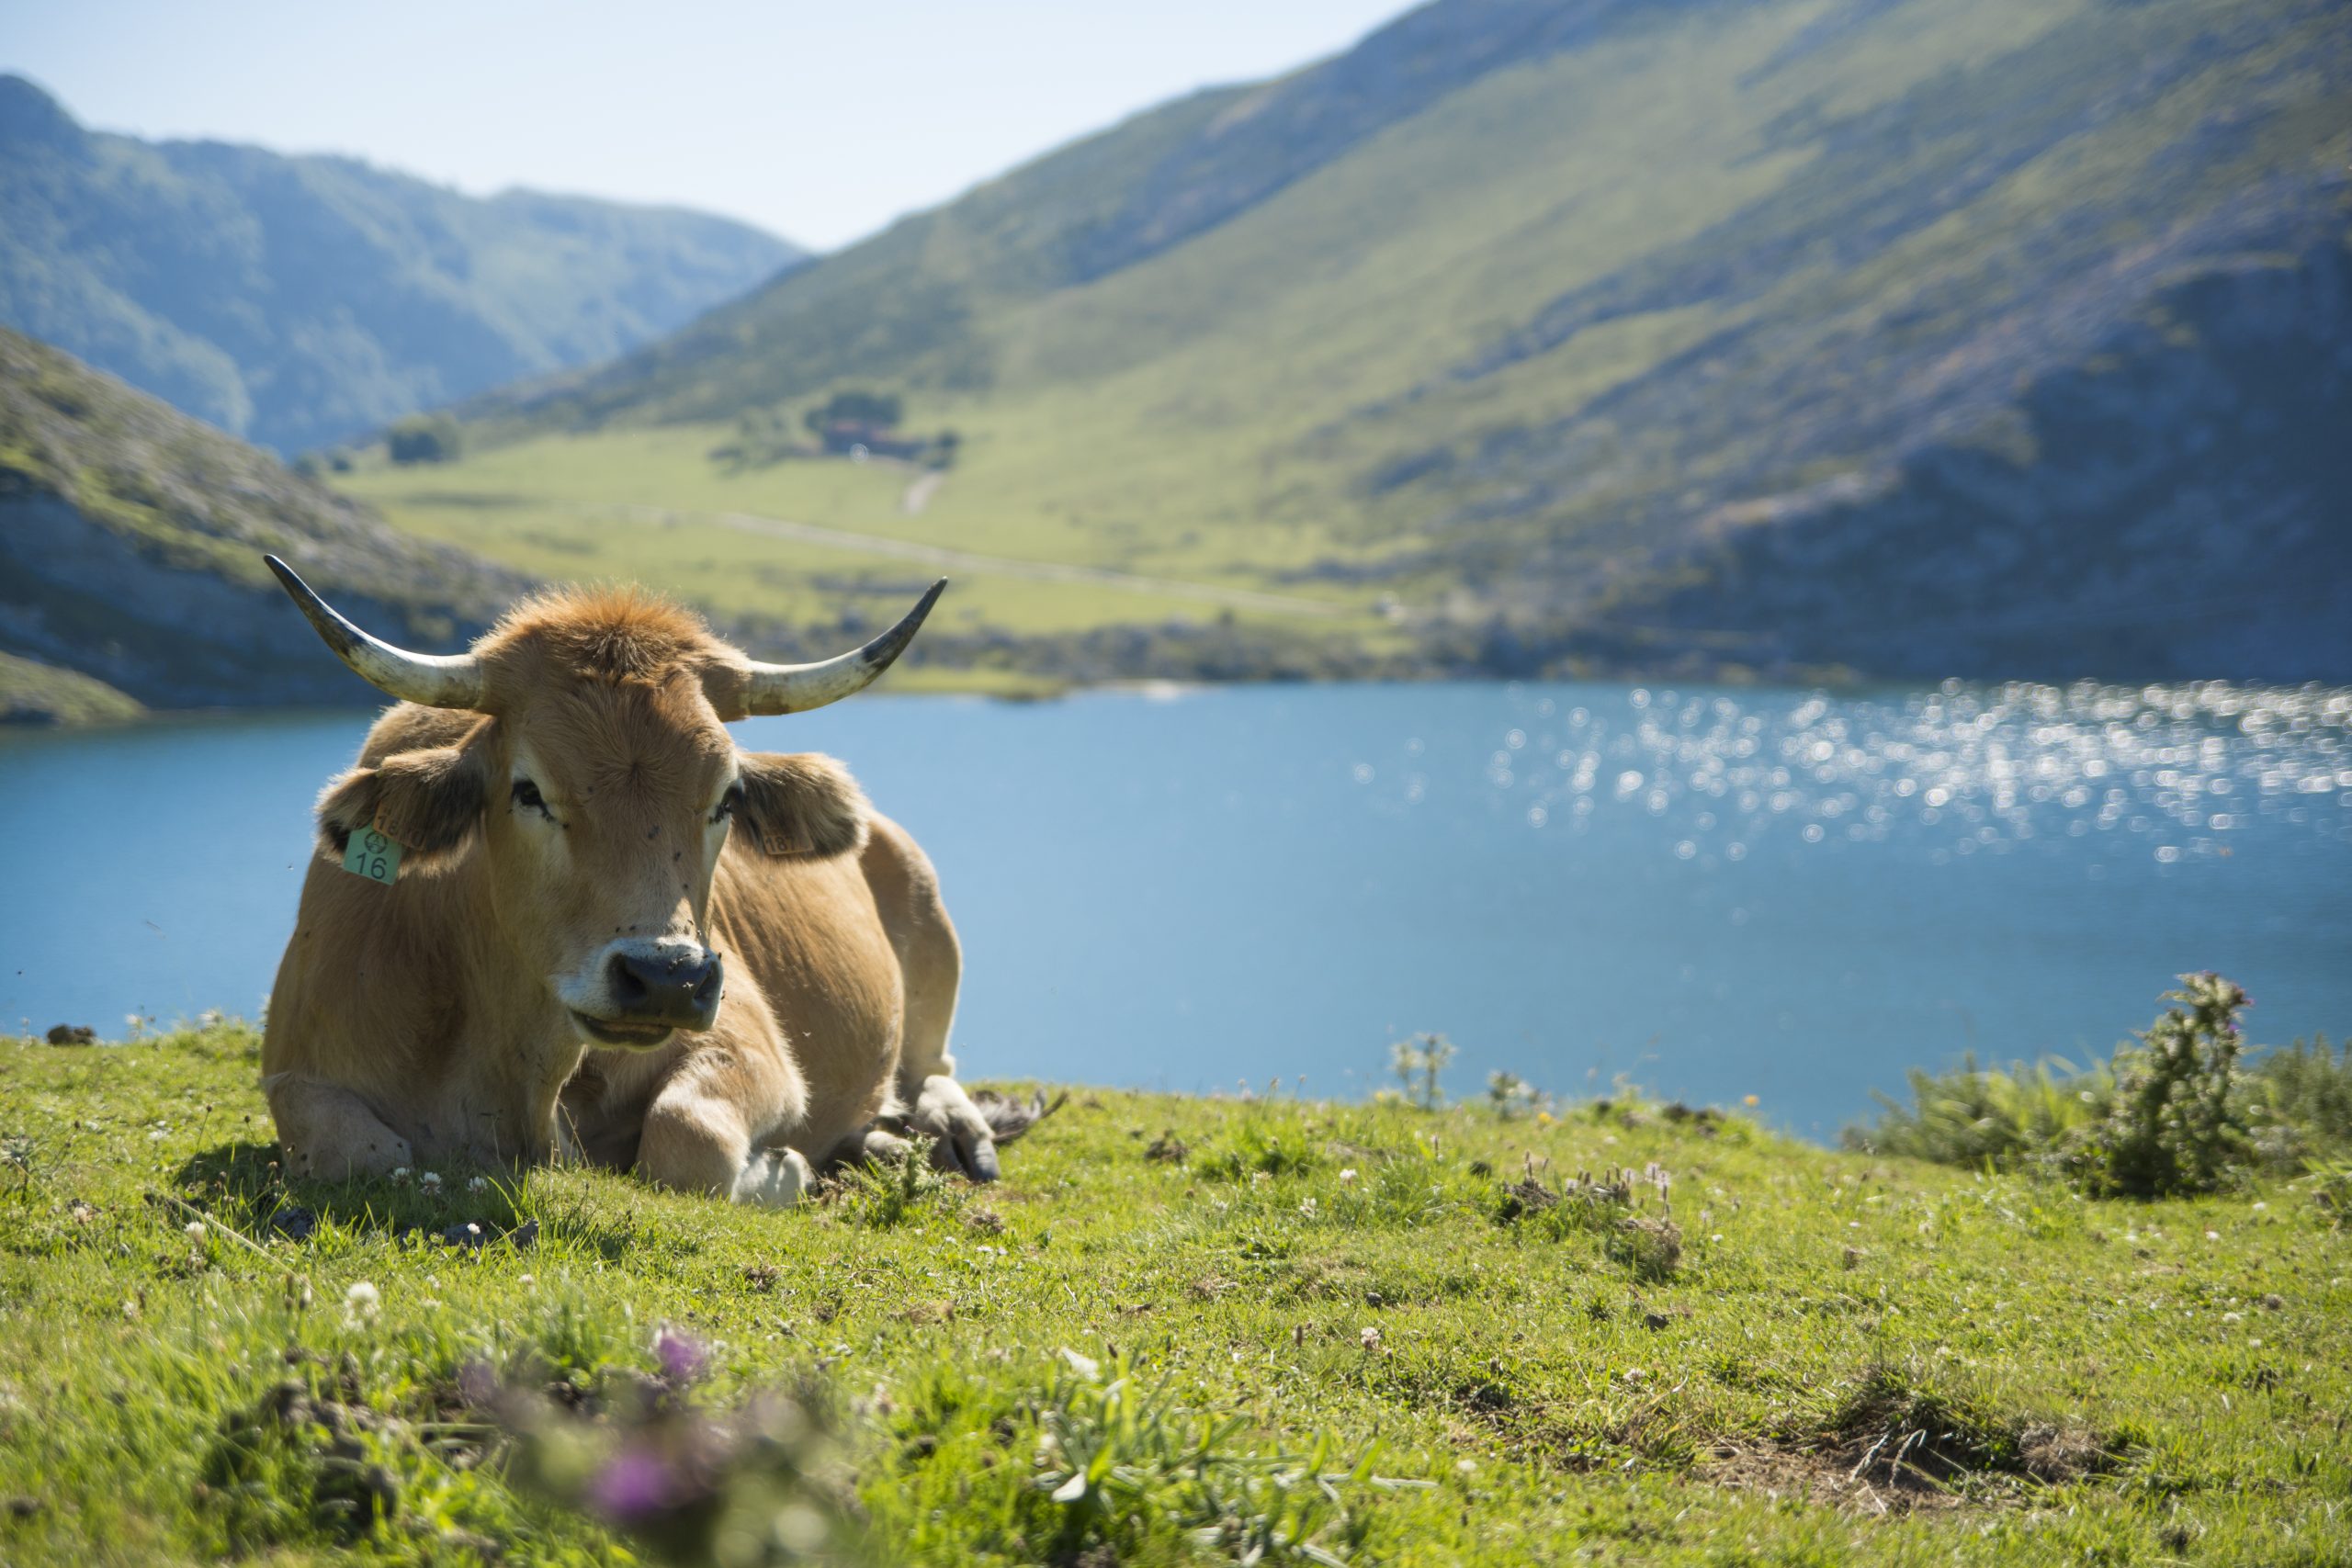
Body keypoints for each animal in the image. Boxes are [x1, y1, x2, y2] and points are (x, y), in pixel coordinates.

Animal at [253, 557, 1015, 1213]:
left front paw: (787, 1167)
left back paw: (940, 1133)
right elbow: (360, 1150)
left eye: (728, 797)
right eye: (528, 790)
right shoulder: (297, 1069)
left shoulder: (752, 1045)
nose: (667, 978)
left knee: (932, 1066)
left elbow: (685, 1136)